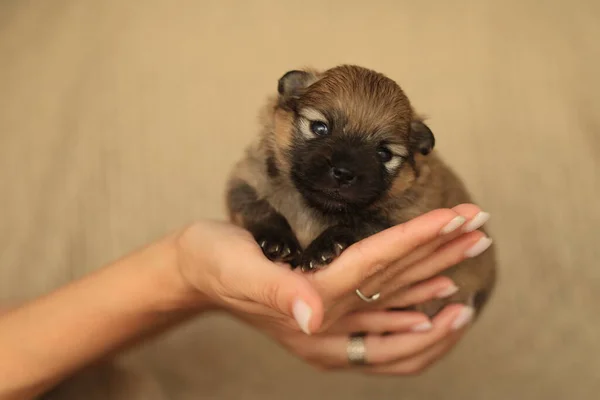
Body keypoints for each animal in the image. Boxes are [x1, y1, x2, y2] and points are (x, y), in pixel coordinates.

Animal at [225, 64, 496, 318]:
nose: (344, 173)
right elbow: (258, 207)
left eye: (384, 153)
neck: (315, 207)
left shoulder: (403, 214)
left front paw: (325, 246)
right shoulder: (246, 179)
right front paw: (276, 240)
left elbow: (358, 223)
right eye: (320, 128)